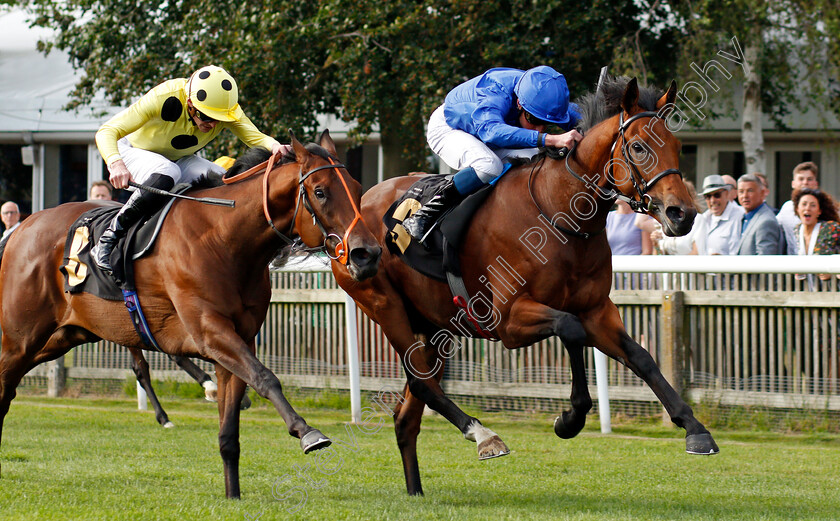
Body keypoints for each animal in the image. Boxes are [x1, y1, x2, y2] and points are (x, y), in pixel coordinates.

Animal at [0, 129, 380, 496]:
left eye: (358, 189)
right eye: (320, 191)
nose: (367, 254)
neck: (224, 238)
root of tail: (22, 228)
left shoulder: (238, 340)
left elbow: (230, 430)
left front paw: (233, 494)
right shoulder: (210, 331)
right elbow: (265, 377)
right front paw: (307, 431)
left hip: (62, 336)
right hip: (21, 337)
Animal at [332, 75, 720, 494]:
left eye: (678, 146)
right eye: (638, 146)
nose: (682, 214)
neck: (561, 214)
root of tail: (355, 206)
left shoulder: (598, 311)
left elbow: (642, 358)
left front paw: (695, 429)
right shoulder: (508, 321)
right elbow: (570, 328)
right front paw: (569, 420)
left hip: (435, 327)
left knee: (408, 415)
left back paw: (417, 489)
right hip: (385, 307)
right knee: (421, 385)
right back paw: (484, 436)